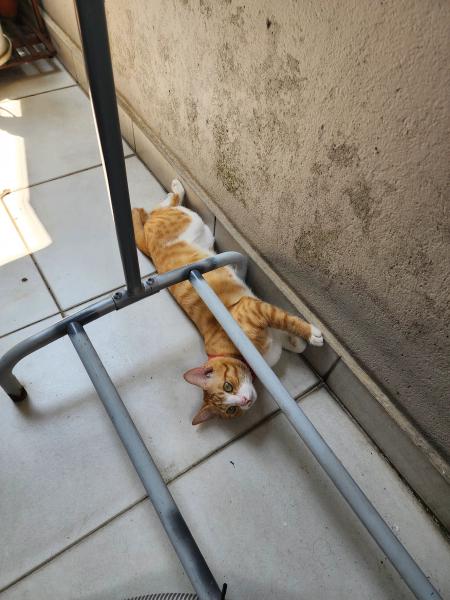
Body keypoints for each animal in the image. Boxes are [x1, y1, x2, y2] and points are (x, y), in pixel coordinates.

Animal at [132, 180, 323, 425]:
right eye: (231, 410)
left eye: (228, 386)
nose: (244, 401)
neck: (238, 354)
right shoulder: (260, 313)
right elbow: (288, 334)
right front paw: (299, 341)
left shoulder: (255, 308)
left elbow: (286, 320)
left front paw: (309, 334)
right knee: (155, 210)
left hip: (187, 220)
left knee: (159, 207)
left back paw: (175, 188)